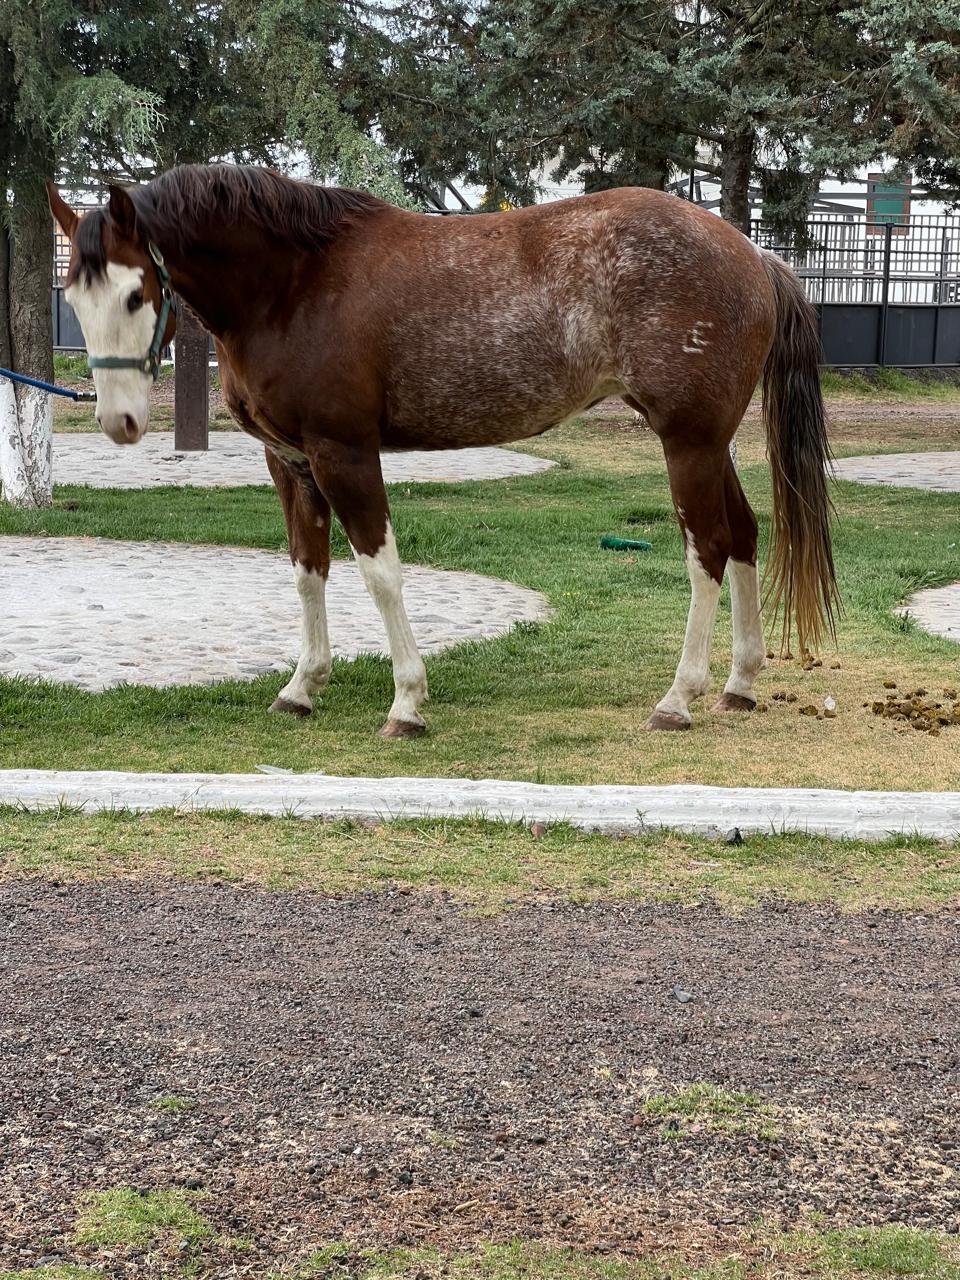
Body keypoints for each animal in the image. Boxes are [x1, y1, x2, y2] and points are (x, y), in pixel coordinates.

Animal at [47, 165, 837, 738]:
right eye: (76, 297)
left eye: (134, 294)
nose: (119, 421)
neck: (294, 284)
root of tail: (751, 253)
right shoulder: (291, 463)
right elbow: (308, 572)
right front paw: (302, 688)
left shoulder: (344, 454)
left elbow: (381, 574)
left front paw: (406, 703)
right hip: (708, 444)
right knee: (744, 535)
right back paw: (740, 683)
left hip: (688, 443)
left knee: (707, 549)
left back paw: (679, 697)